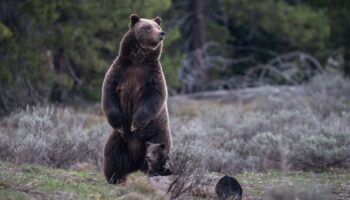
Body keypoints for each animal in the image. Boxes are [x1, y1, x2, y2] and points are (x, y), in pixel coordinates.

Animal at [101, 13, 172, 184]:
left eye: (157, 26)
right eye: (148, 27)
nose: (162, 33)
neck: (138, 60)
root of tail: (135, 162)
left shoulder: (151, 76)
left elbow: (153, 98)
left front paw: (135, 124)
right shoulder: (120, 72)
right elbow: (109, 95)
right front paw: (121, 124)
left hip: (157, 135)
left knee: (159, 153)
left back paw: (157, 172)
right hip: (119, 141)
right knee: (112, 155)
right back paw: (115, 177)